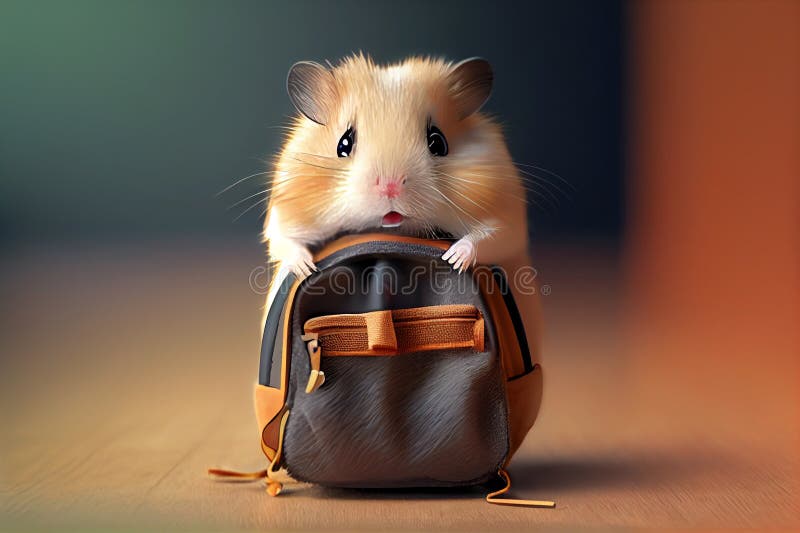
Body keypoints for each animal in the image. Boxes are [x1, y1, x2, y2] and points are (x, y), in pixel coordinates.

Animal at [263, 54, 531, 309]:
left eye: (438, 142)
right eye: (343, 144)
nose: (390, 187)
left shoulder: (505, 214)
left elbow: (493, 235)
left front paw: (452, 259)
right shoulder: (287, 213)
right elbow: (283, 239)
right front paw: (307, 267)